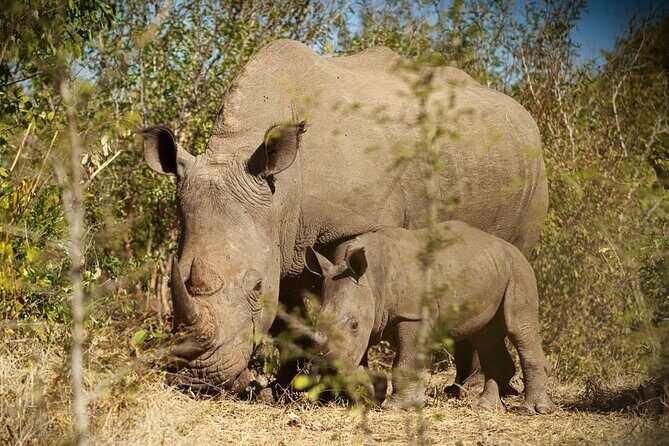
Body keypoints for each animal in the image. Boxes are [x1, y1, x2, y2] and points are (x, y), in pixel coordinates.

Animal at [142, 39, 548, 393]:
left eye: (255, 287)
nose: (198, 380)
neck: (278, 189)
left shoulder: (348, 229)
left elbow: (353, 295)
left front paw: (346, 388)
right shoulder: (282, 239)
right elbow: (289, 319)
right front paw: (282, 390)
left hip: (533, 170)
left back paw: (470, 391)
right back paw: (460, 389)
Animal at [306, 221, 556, 414]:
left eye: (354, 325)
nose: (328, 369)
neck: (371, 280)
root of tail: (513, 249)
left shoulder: (412, 315)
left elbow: (404, 360)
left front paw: (395, 407)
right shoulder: (372, 313)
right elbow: (361, 358)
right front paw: (371, 397)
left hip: (518, 269)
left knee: (518, 328)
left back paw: (535, 410)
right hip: (490, 271)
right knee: (486, 336)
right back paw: (486, 407)